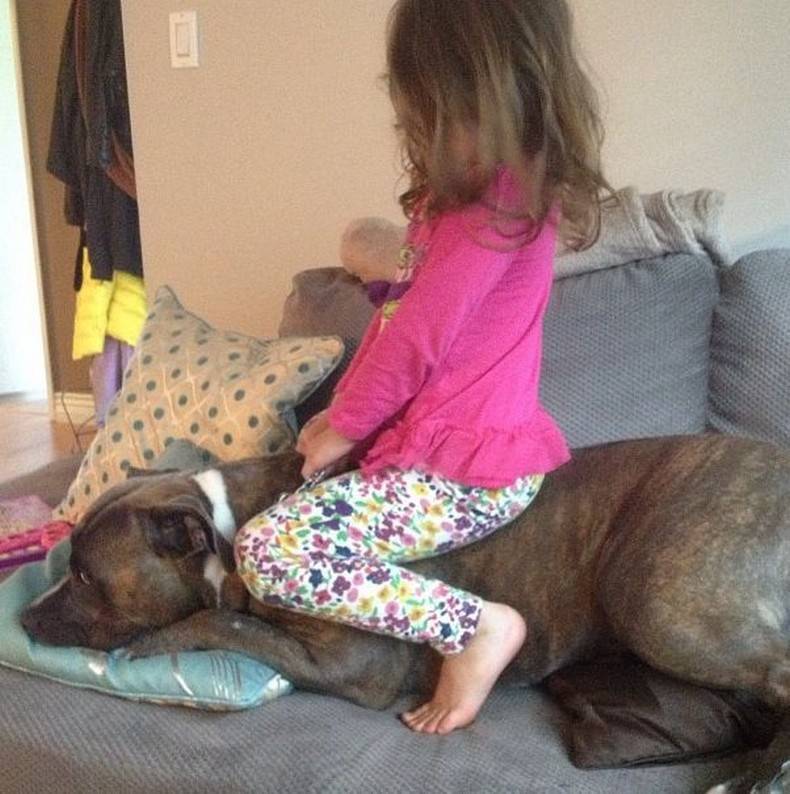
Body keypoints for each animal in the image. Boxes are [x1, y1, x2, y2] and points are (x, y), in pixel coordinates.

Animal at [21, 433, 790, 713]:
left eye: (85, 578)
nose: (24, 615)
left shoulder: (347, 666)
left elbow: (224, 623)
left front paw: (156, 641)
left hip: (653, 598)